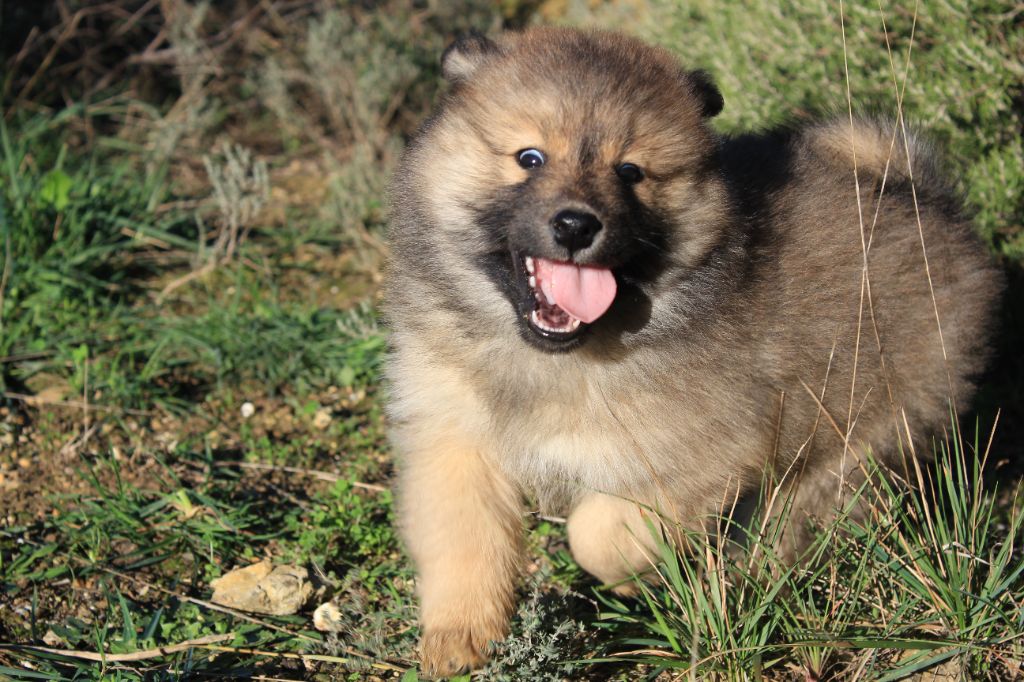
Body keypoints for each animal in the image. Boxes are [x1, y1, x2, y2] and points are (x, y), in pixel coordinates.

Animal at [383, 27, 1002, 676]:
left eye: (630, 171)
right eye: (530, 158)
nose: (577, 225)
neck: (553, 357)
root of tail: (930, 204)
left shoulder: (698, 456)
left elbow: (597, 534)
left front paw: (636, 580)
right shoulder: (454, 439)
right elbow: (464, 542)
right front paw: (459, 636)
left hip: (861, 443)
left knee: (801, 518)